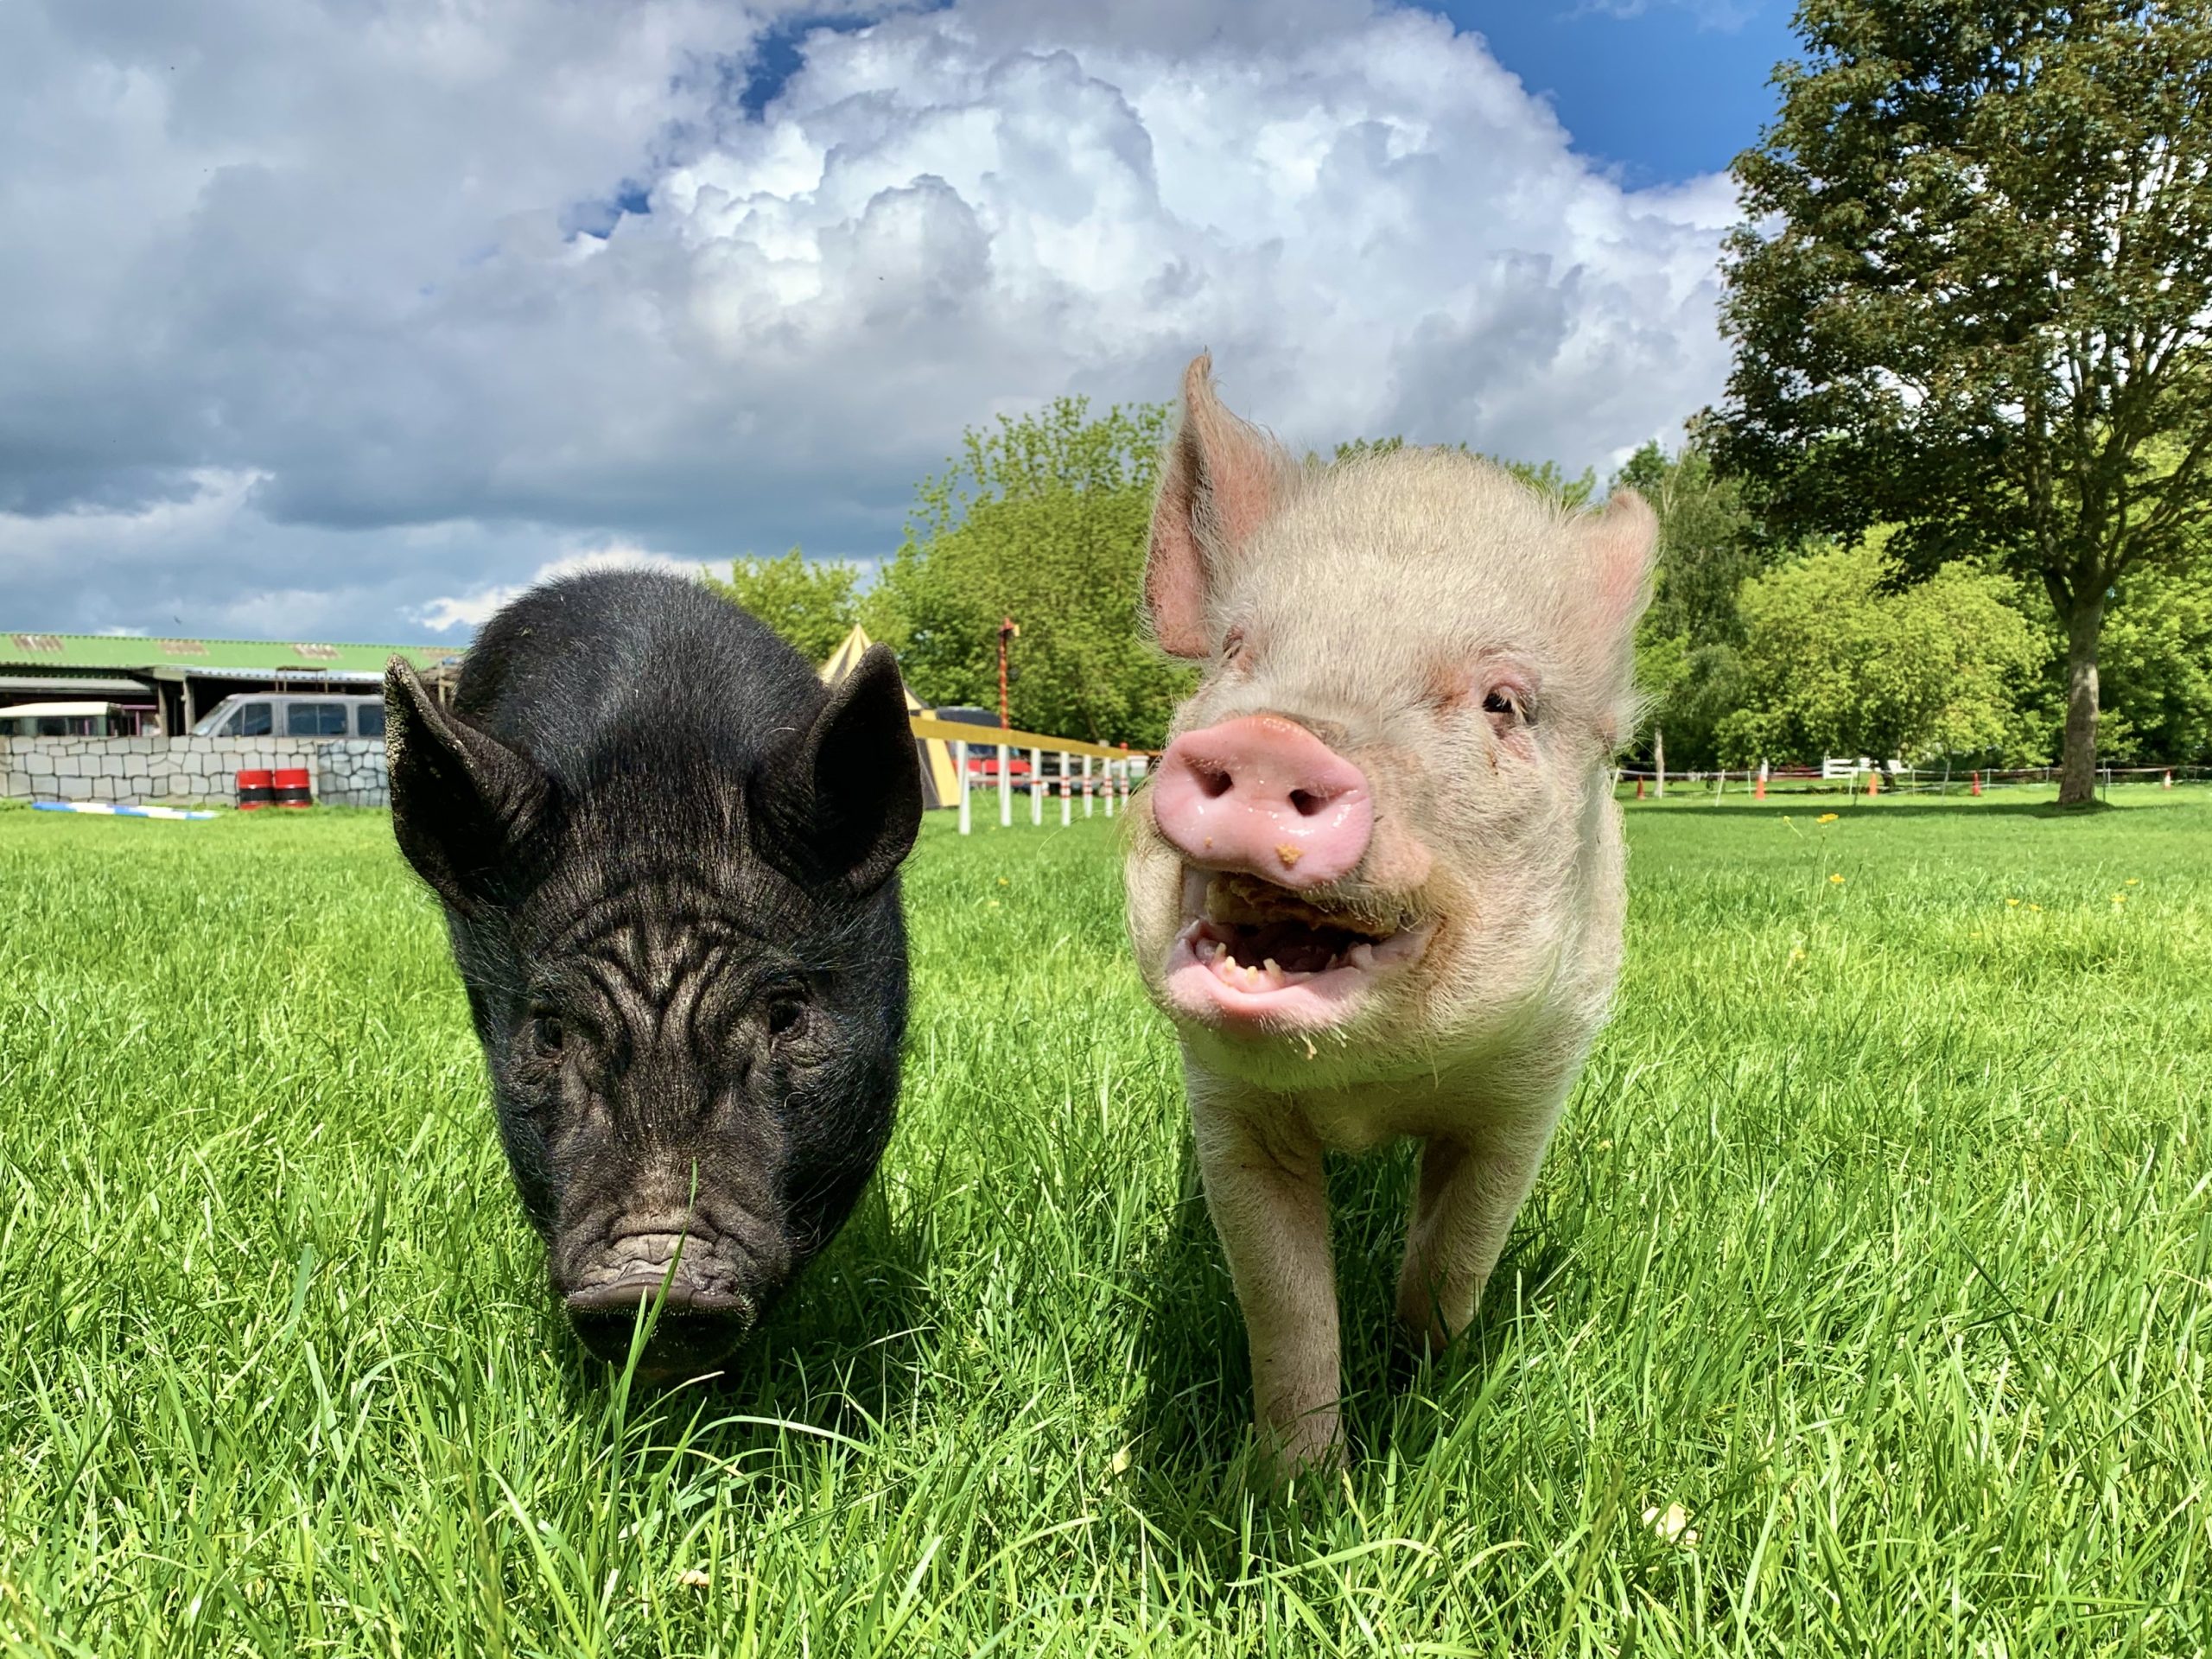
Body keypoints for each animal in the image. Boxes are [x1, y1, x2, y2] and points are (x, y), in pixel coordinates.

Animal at [1125, 356, 1656, 1473]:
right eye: (1235, 651)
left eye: (1502, 702)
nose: (1277, 737)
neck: (1368, 1093)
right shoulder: (1229, 1112)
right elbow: (1286, 1308)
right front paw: (1295, 1482)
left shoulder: (1530, 1090)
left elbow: (1454, 1257)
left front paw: (1426, 1379)